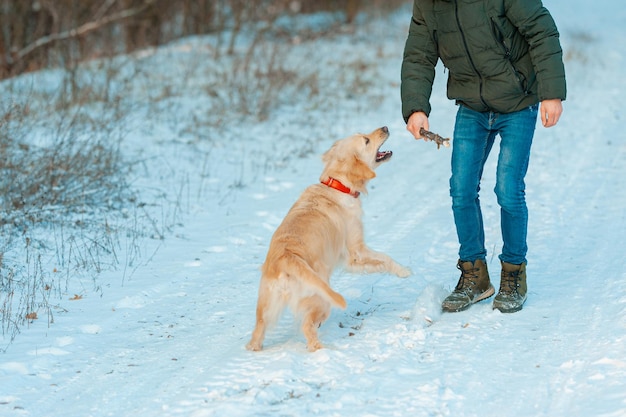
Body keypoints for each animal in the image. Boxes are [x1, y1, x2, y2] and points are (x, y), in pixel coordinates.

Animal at [244, 124, 410, 352]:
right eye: (366, 141)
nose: (385, 127)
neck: (337, 185)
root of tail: (286, 258)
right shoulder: (356, 251)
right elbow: (385, 258)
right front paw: (403, 271)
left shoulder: (350, 260)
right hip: (321, 299)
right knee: (307, 328)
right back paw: (323, 350)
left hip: (267, 308)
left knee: (257, 333)